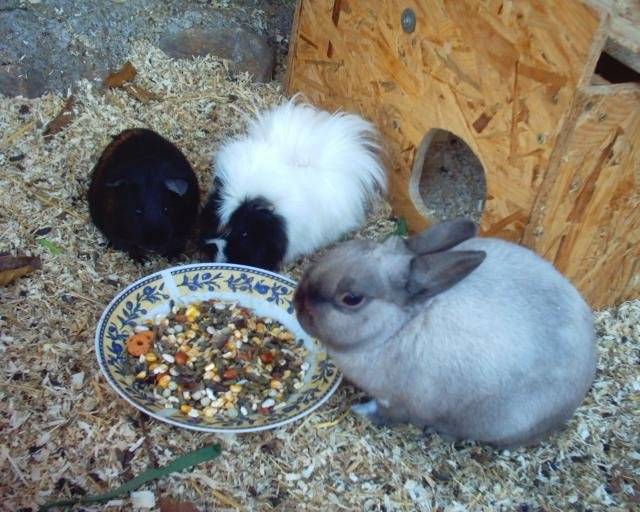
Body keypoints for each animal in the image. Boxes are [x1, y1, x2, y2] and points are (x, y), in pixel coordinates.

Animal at [88, 128, 200, 261]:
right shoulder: (114, 231)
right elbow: (126, 245)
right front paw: (141, 259)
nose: (154, 245)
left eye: (166, 209)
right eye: (137, 211)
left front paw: (170, 256)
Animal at [293, 219, 597, 448]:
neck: (399, 327)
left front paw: (359, 411)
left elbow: (385, 413)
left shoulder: (394, 401)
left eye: (352, 299)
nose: (297, 303)